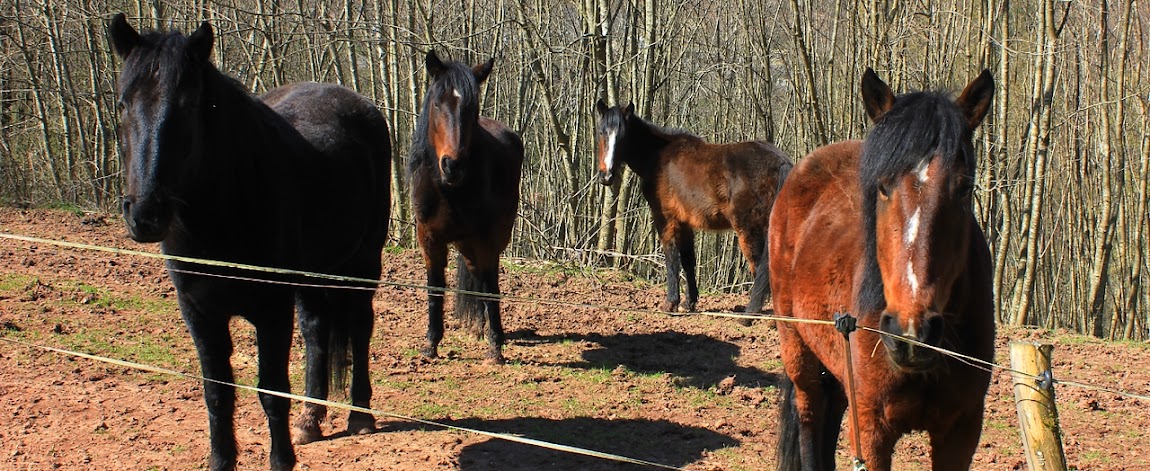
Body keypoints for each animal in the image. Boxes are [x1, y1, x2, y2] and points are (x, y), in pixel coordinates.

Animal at [109, 14, 393, 471]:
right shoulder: (199, 313)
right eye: (122, 103)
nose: (146, 214)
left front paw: (281, 459)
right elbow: (217, 393)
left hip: (363, 264)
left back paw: (360, 416)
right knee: (317, 332)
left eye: (189, 106)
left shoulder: (271, 309)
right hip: (312, 276)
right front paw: (221, 460)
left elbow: (271, 390)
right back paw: (310, 419)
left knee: (360, 328)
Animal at [409, 50, 526, 365]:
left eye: (472, 108)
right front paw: (431, 344)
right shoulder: (429, 239)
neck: (449, 190)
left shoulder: (485, 239)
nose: (453, 165)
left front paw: (496, 348)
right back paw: (477, 326)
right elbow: (435, 288)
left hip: (491, 239)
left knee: (485, 278)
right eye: (438, 103)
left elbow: (490, 288)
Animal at [593, 101, 791, 319]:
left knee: (760, 268)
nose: (606, 176)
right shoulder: (685, 222)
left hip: (749, 230)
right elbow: (688, 261)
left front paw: (671, 303)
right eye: (601, 132)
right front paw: (690, 302)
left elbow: (672, 258)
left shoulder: (666, 219)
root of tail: (781, 163)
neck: (659, 157)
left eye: (622, 136)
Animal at [772, 69, 998, 471]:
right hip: (798, 351)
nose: (911, 331)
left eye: (964, 188)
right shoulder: (872, 428)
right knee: (809, 418)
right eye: (882, 187)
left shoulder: (961, 432)